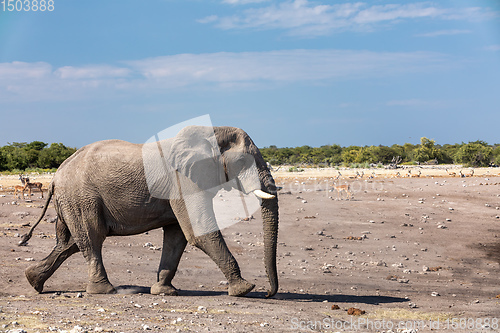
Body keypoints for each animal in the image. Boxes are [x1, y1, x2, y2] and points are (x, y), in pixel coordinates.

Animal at [21, 126, 280, 296]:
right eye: (244, 162)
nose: (269, 293)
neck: (214, 132)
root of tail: (56, 175)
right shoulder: (182, 181)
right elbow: (199, 233)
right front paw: (244, 289)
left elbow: (177, 237)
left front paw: (164, 291)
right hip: (81, 197)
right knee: (91, 238)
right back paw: (104, 290)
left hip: (74, 201)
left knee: (71, 243)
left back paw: (33, 280)